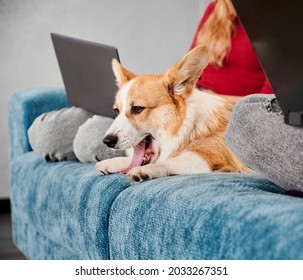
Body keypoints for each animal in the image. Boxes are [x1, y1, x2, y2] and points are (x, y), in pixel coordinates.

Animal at [95, 45, 249, 184]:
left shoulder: (209, 157)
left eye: (137, 109)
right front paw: (113, 162)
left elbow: (168, 162)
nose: (107, 141)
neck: (189, 127)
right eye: (116, 111)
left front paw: (144, 170)